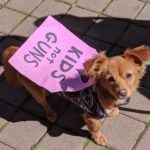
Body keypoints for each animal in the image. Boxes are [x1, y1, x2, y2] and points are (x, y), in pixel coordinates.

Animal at [1, 44, 149, 145]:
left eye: (129, 75)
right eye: (110, 79)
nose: (123, 93)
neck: (104, 93)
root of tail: (17, 50)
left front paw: (113, 110)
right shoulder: (91, 116)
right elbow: (95, 128)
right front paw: (98, 138)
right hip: (36, 91)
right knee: (43, 102)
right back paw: (51, 114)